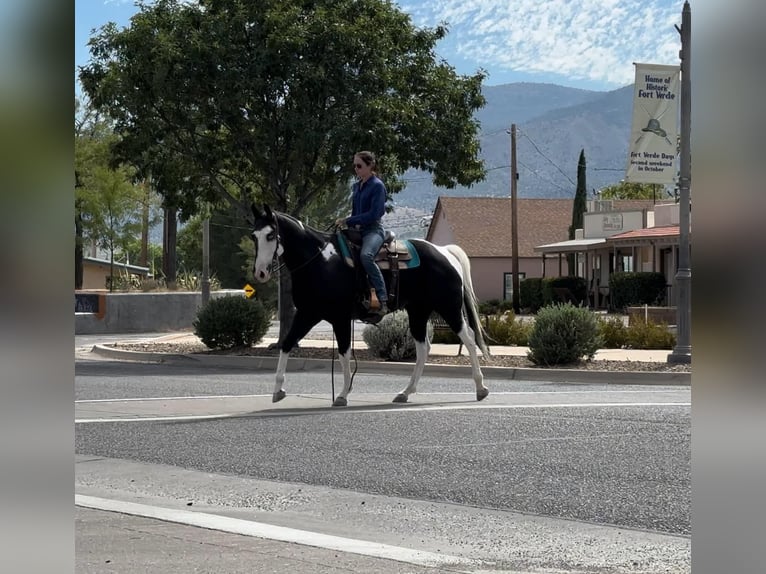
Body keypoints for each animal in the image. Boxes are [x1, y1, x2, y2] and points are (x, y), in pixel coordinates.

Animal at [250, 203, 490, 407]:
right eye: (254, 236)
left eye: (270, 235)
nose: (260, 272)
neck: (320, 261)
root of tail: (445, 252)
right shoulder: (307, 314)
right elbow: (287, 344)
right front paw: (278, 390)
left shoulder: (340, 318)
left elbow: (344, 354)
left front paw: (342, 394)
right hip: (418, 312)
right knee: (423, 348)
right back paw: (405, 392)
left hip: (449, 307)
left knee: (469, 339)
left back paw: (481, 388)